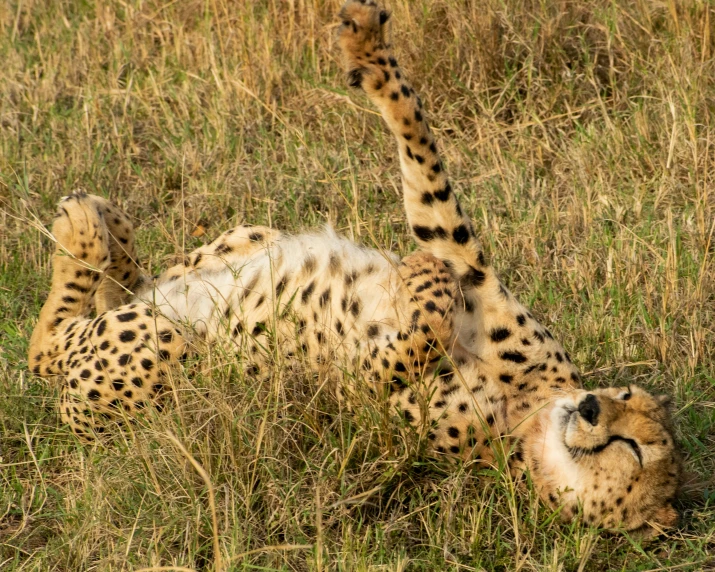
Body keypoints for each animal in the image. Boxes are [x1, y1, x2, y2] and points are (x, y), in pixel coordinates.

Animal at [26, 0, 684, 536]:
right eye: (624, 394)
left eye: (634, 449)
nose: (591, 407)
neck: (528, 417)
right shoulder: (463, 261)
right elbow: (419, 143)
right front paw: (368, 47)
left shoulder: (364, 388)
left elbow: (420, 327)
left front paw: (422, 284)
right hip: (238, 243)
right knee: (138, 284)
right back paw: (108, 224)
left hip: (160, 346)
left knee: (49, 343)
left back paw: (81, 230)